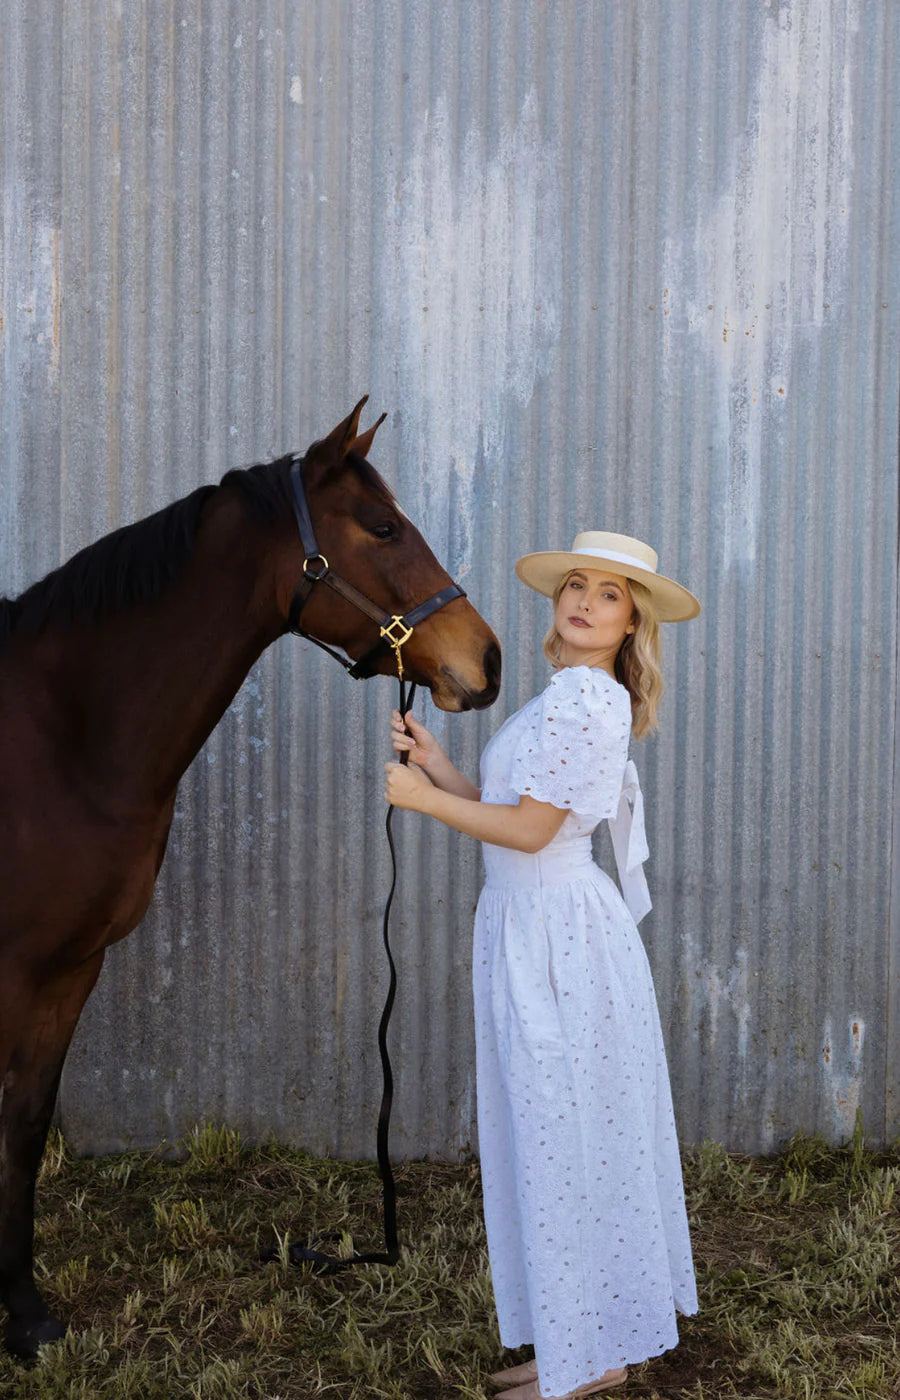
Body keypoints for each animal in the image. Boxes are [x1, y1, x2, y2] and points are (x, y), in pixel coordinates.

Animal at [0, 397, 501, 1355]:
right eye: (383, 526)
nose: (487, 661)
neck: (59, 738)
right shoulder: (13, 968)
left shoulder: (69, 967)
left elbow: (26, 1121)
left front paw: (27, 1314)